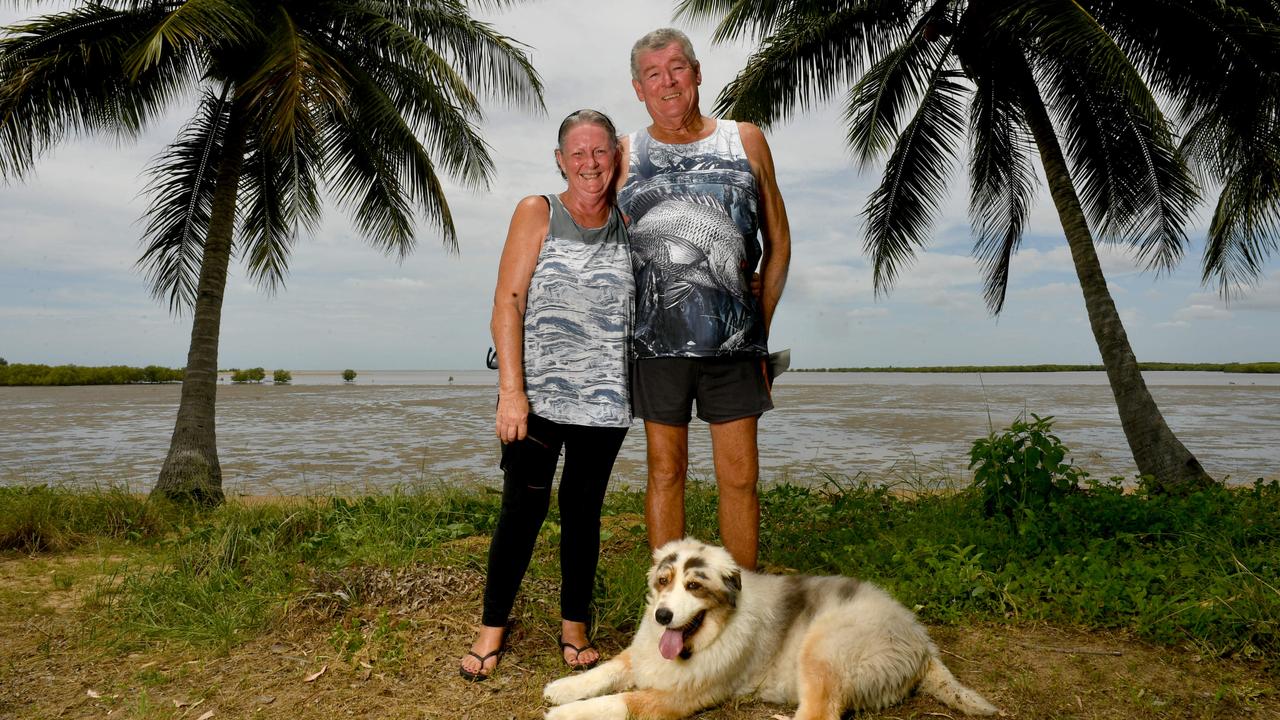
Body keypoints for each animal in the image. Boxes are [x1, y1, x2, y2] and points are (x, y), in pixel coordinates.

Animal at [542, 538, 998, 717]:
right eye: (664, 581)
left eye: (694, 586)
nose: (663, 617)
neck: (710, 636)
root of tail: (920, 639)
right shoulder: (640, 657)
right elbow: (608, 670)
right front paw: (562, 688)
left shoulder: (677, 699)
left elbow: (620, 702)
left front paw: (564, 713)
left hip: (822, 651)